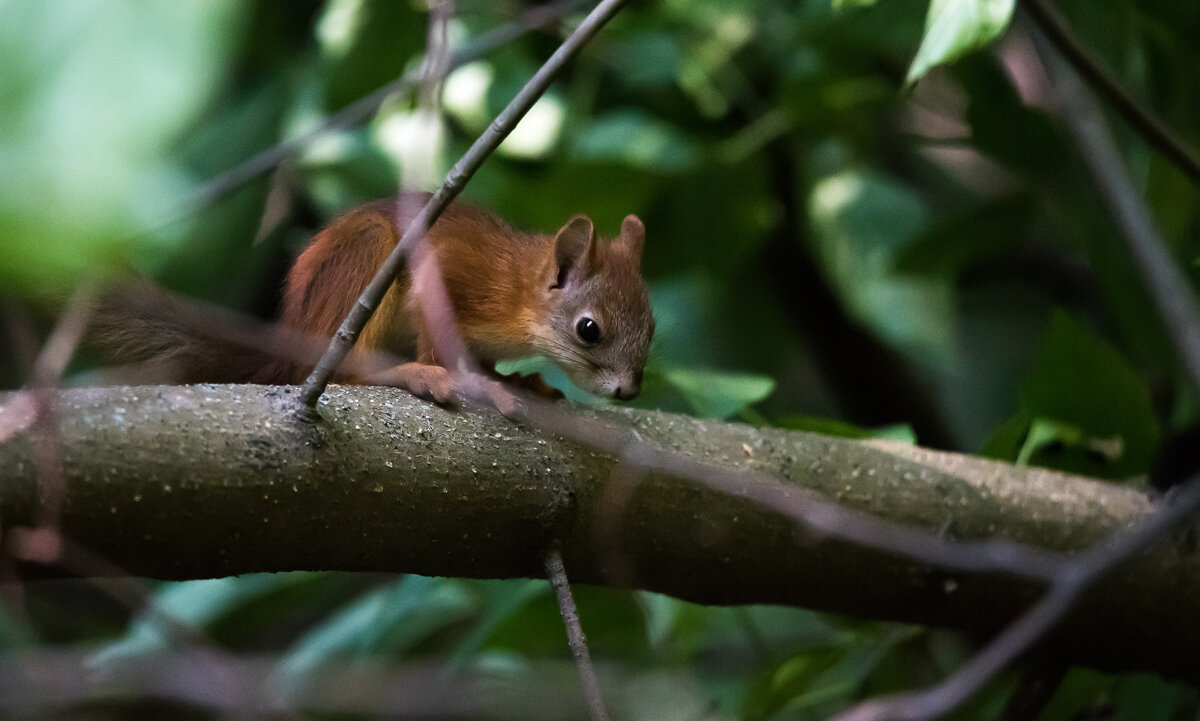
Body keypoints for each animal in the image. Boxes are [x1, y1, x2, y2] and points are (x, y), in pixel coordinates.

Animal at [97, 190, 652, 403]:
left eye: (652, 328)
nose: (628, 391)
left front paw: (512, 380)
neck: (519, 295)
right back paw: (406, 373)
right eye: (589, 329)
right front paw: (471, 380)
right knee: (341, 371)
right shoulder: (452, 273)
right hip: (367, 255)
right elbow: (440, 338)